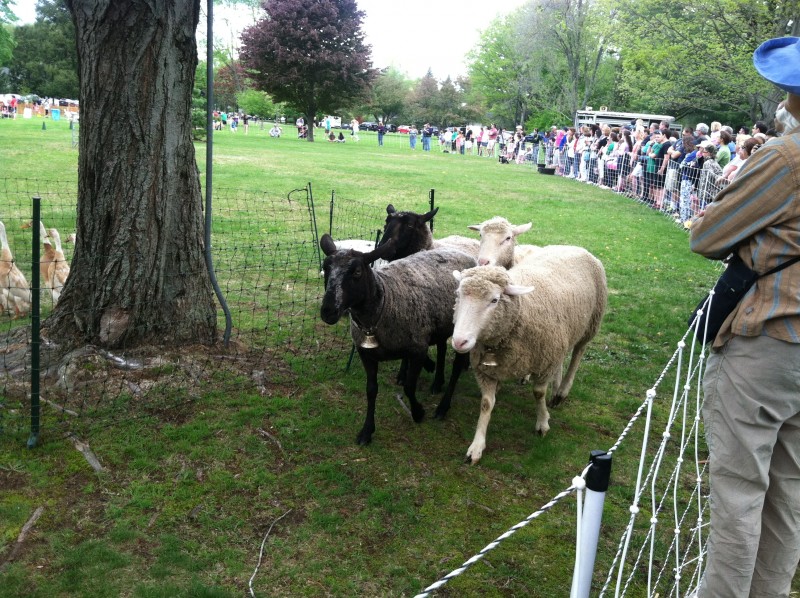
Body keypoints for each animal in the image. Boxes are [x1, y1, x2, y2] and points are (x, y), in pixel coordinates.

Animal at [450, 246, 608, 466]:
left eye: (494, 300)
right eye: (458, 295)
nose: (459, 342)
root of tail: (573, 246)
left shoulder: (545, 361)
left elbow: (539, 393)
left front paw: (542, 423)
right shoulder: (486, 371)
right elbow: (486, 404)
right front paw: (476, 447)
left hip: (591, 323)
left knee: (577, 354)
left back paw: (562, 391)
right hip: (561, 338)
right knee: (562, 360)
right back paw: (556, 389)